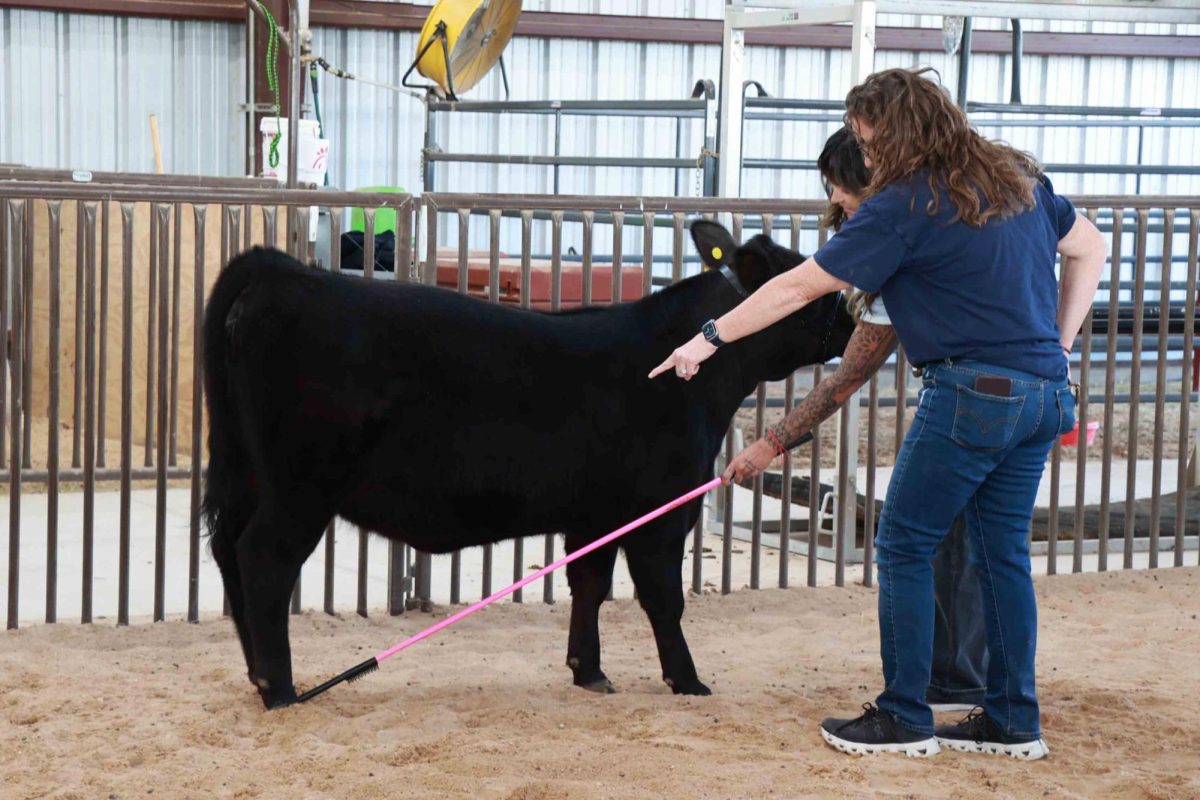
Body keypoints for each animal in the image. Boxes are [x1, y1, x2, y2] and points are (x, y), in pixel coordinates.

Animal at [201, 220, 855, 709]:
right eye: (810, 280)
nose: (854, 318)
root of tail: (284, 273)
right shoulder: (662, 511)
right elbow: (663, 598)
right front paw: (688, 681)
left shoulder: (597, 515)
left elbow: (590, 585)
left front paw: (589, 672)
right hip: (298, 489)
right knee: (262, 558)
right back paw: (280, 687)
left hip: (244, 471)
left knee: (228, 550)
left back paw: (256, 673)